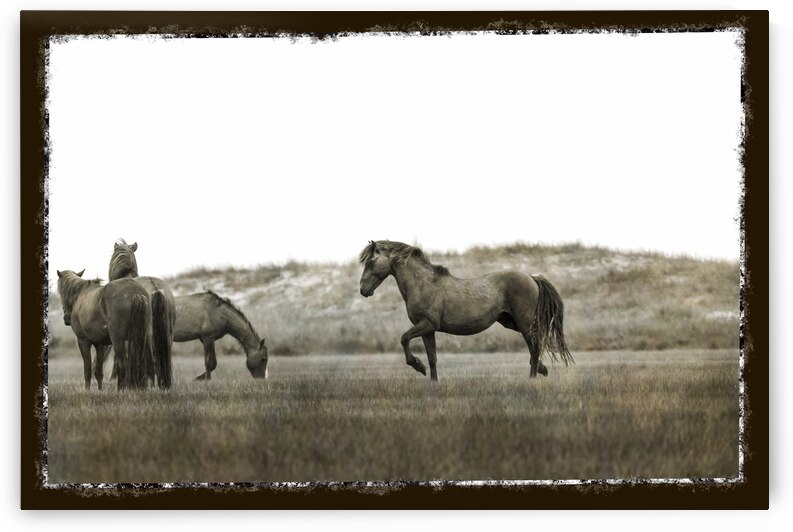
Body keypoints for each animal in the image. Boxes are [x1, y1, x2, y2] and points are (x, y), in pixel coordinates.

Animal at [358, 240, 573, 381]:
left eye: (371, 262)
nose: (363, 290)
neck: (423, 284)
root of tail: (531, 277)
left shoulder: (427, 324)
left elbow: (404, 339)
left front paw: (418, 366)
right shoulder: (428, 330)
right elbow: (432, 358)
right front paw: (433, 381)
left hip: (524, 322)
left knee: (535, 347)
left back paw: (533, 377)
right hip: (510, 322)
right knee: (535, 346)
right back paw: (541, 369)